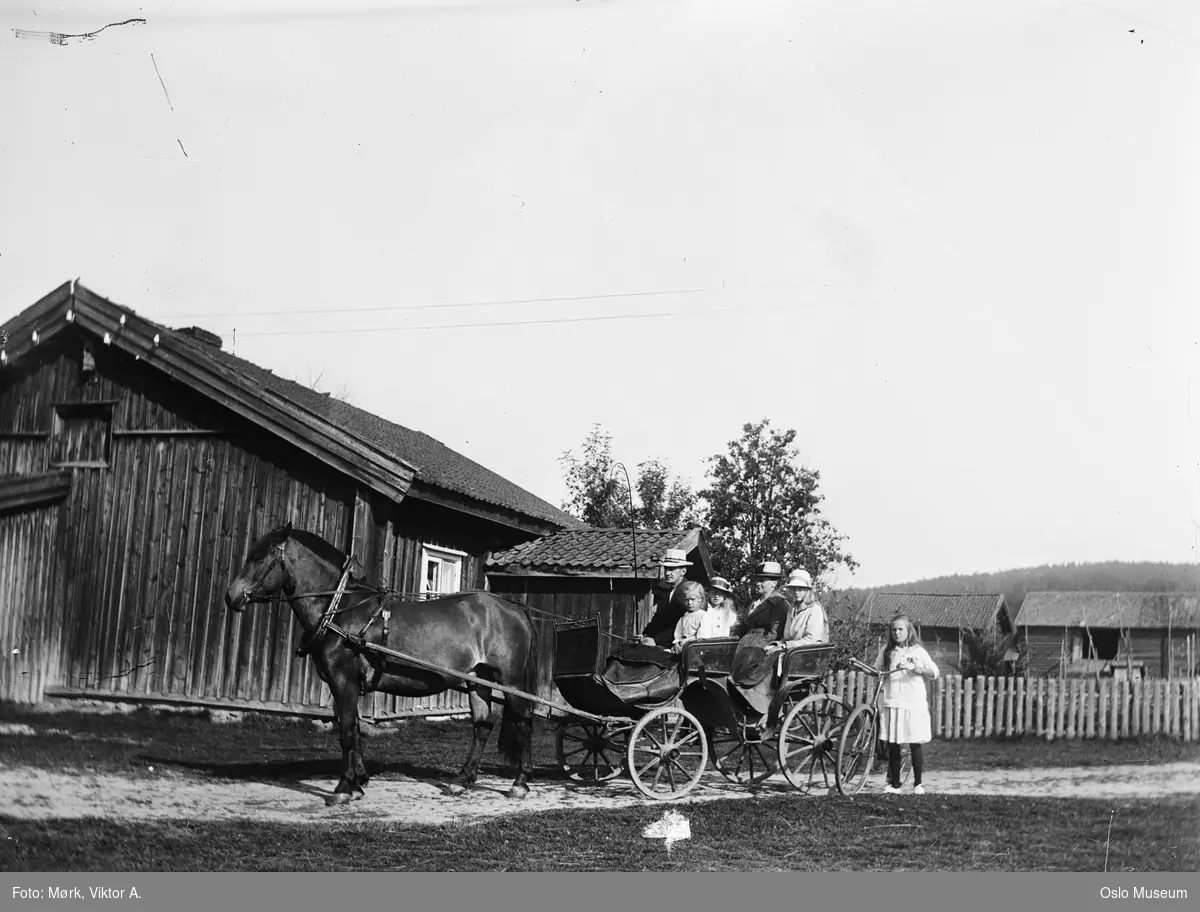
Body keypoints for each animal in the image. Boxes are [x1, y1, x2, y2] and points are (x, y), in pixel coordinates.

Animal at [222, 520, 540, 806]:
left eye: (260, 557)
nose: (231, 596)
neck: (339, 610)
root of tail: (514, 608)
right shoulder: (342, 685)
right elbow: (353, 731)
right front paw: (358, 782)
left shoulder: (344, 681)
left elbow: (346, 733)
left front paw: (342, 788)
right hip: (477, 679)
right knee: (482, 726)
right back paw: (462, 780)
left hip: (510, 680)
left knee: (523, 722)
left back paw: (520, 783)